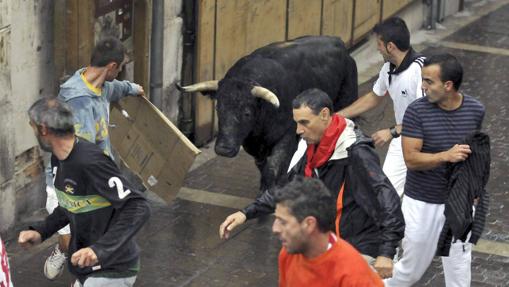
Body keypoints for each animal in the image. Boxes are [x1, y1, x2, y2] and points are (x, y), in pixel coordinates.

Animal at [179, 36, 358, 191]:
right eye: (218, 108)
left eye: (247, 113)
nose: (224, 149)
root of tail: (338, 42)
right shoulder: (255, 145)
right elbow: (263, 165)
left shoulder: (287, 136)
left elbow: (274, 165)